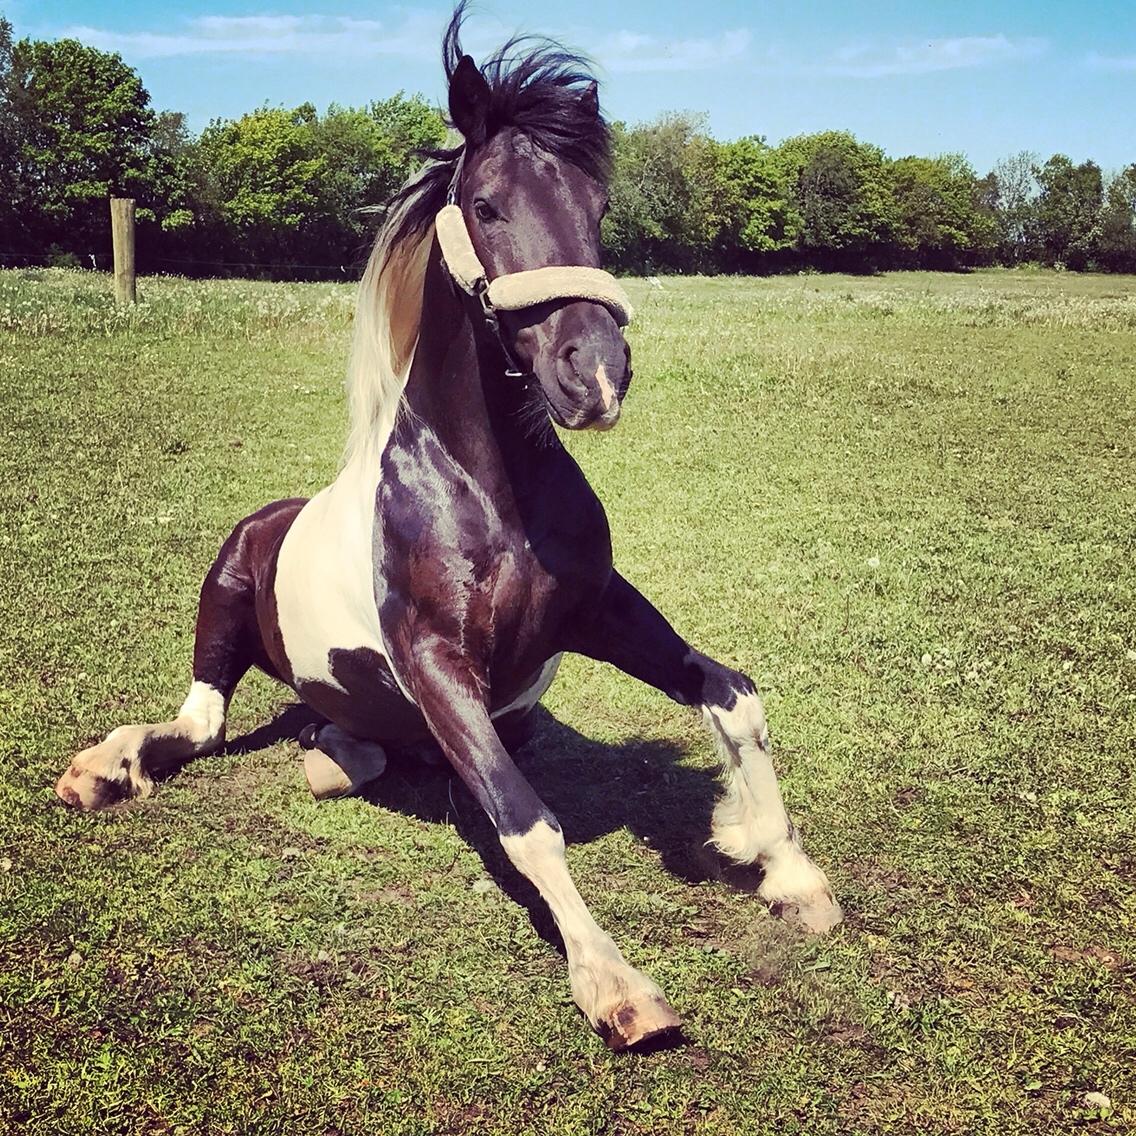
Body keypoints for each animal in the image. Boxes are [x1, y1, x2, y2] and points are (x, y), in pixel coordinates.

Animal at [55, 8, 845, 1049]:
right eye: (488, 204)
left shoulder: (599, 612)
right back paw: (104, 769)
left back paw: (332, 750)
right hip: (222, 599)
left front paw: (785, 869)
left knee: (342, 742)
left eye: (599, 206)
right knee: (200, 721)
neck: (486, 489)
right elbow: (525, 819)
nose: (594, 374)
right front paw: (617, 985)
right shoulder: (435, 660)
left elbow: (733, 694)